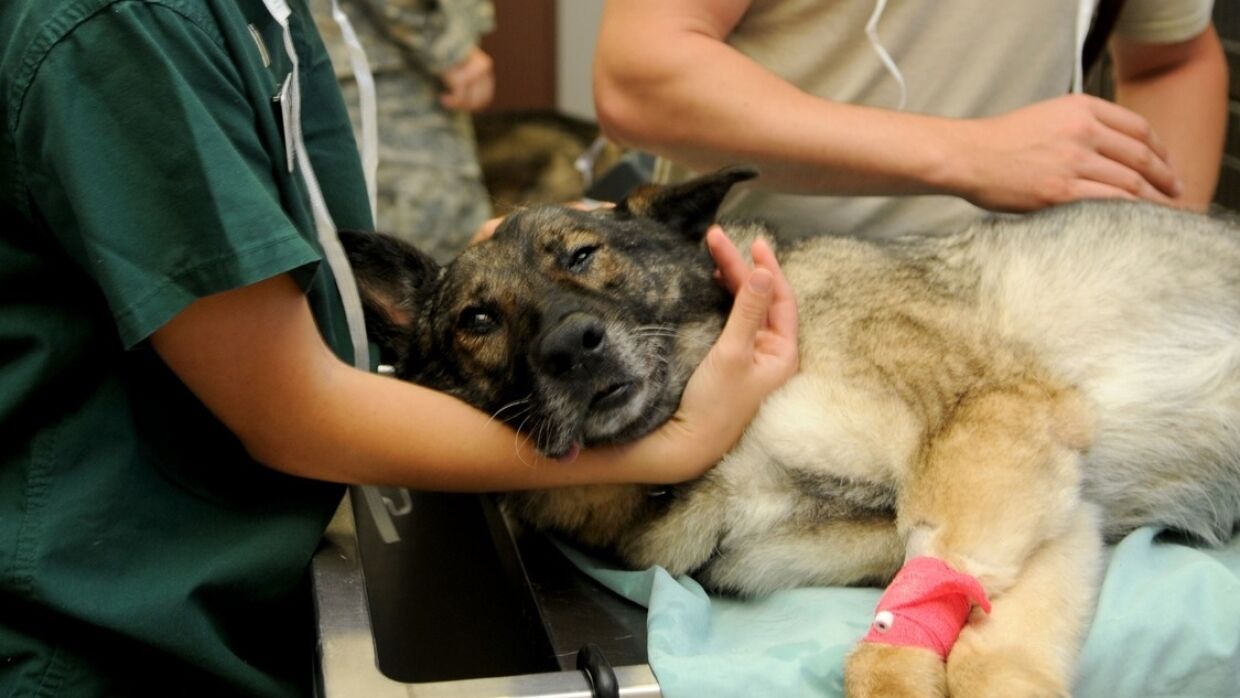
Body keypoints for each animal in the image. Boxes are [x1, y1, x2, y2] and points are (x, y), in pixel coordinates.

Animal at [344, 171, 1240, 698]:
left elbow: (930, 633)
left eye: (584, 253)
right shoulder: (1049, 508)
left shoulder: (995, 424)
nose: (572, 346)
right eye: (478, 320)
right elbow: (982, 639)